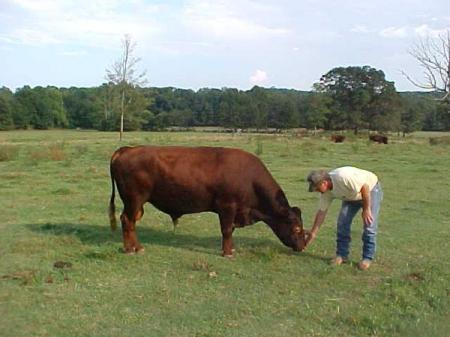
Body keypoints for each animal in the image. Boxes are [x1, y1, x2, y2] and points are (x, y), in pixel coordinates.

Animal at [109, 144, 306, 255]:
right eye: (297, 228)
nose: (303, 245)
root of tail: (127, 149)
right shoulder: (227, 206)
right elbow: (226, 230)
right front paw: (227, 252)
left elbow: (230, 230)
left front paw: (231, 248)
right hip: (134, 200)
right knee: (127, 221)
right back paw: (131, 249)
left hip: (135, 203)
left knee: (130, 221)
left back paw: (136, 247)